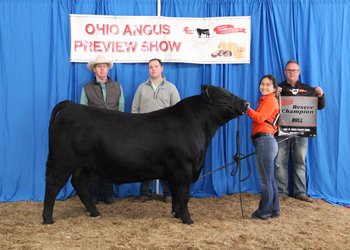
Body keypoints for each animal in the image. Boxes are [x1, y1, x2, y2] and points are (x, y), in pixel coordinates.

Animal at [42, 85, 249, 225]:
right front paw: (188, 219)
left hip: (82, 165)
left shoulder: (174, 172)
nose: (246, 103)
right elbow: (183, 195)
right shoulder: (183, 167)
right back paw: (47, 219)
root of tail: (71, 105)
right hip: (62, 161)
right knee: (52, 186)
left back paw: (95, 213)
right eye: (222, 95)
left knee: (79, 184)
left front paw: (176, 214)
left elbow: (175, 194)